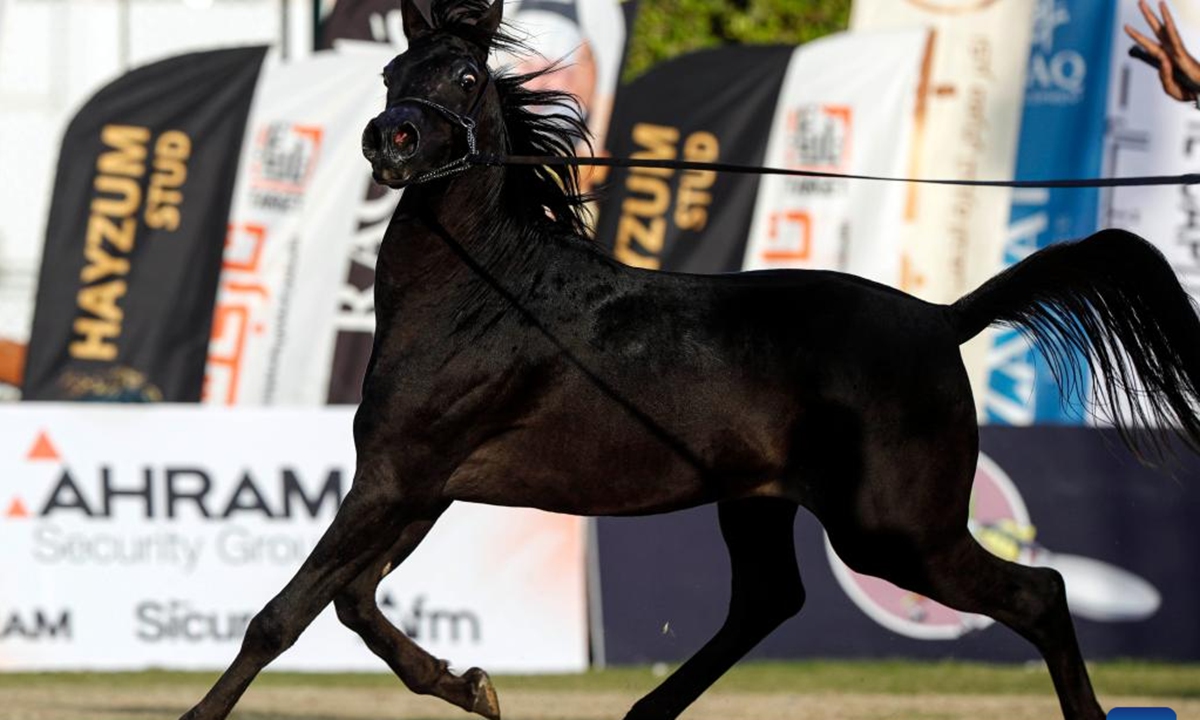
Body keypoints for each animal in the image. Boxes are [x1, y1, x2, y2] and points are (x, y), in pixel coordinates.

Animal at [180, 2, 1200, 719]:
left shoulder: (398, 475)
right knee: (769, 602)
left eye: (467, 75)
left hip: (895, 531)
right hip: (763, 504)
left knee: (1041, 593)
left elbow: (285, 613)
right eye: (393, 70)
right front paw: (472, 683)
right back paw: (640, 714)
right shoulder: (420, 484)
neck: (485, 295)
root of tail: (942, 318)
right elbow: (350, 602)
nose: (390, 139)